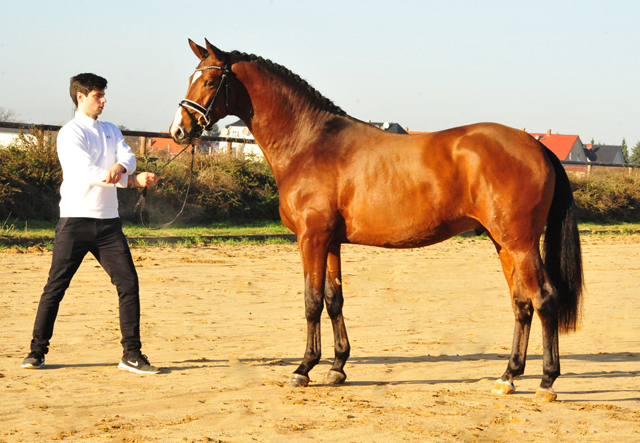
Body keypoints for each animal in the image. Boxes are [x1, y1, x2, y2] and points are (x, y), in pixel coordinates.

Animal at [171, 40, 584, 402]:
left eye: (210, 81)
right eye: (190, 76)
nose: (179, 129)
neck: (310, 143)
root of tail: (537, 146)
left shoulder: (311, 238)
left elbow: (311, 301)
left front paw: (303, 369)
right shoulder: (330, 242)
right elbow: (334, 299)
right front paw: (336, 367)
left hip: (520, 243)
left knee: (544, 299)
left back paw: (546, 382)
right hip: (503, 243)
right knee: (521, 304)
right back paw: (508, 377)